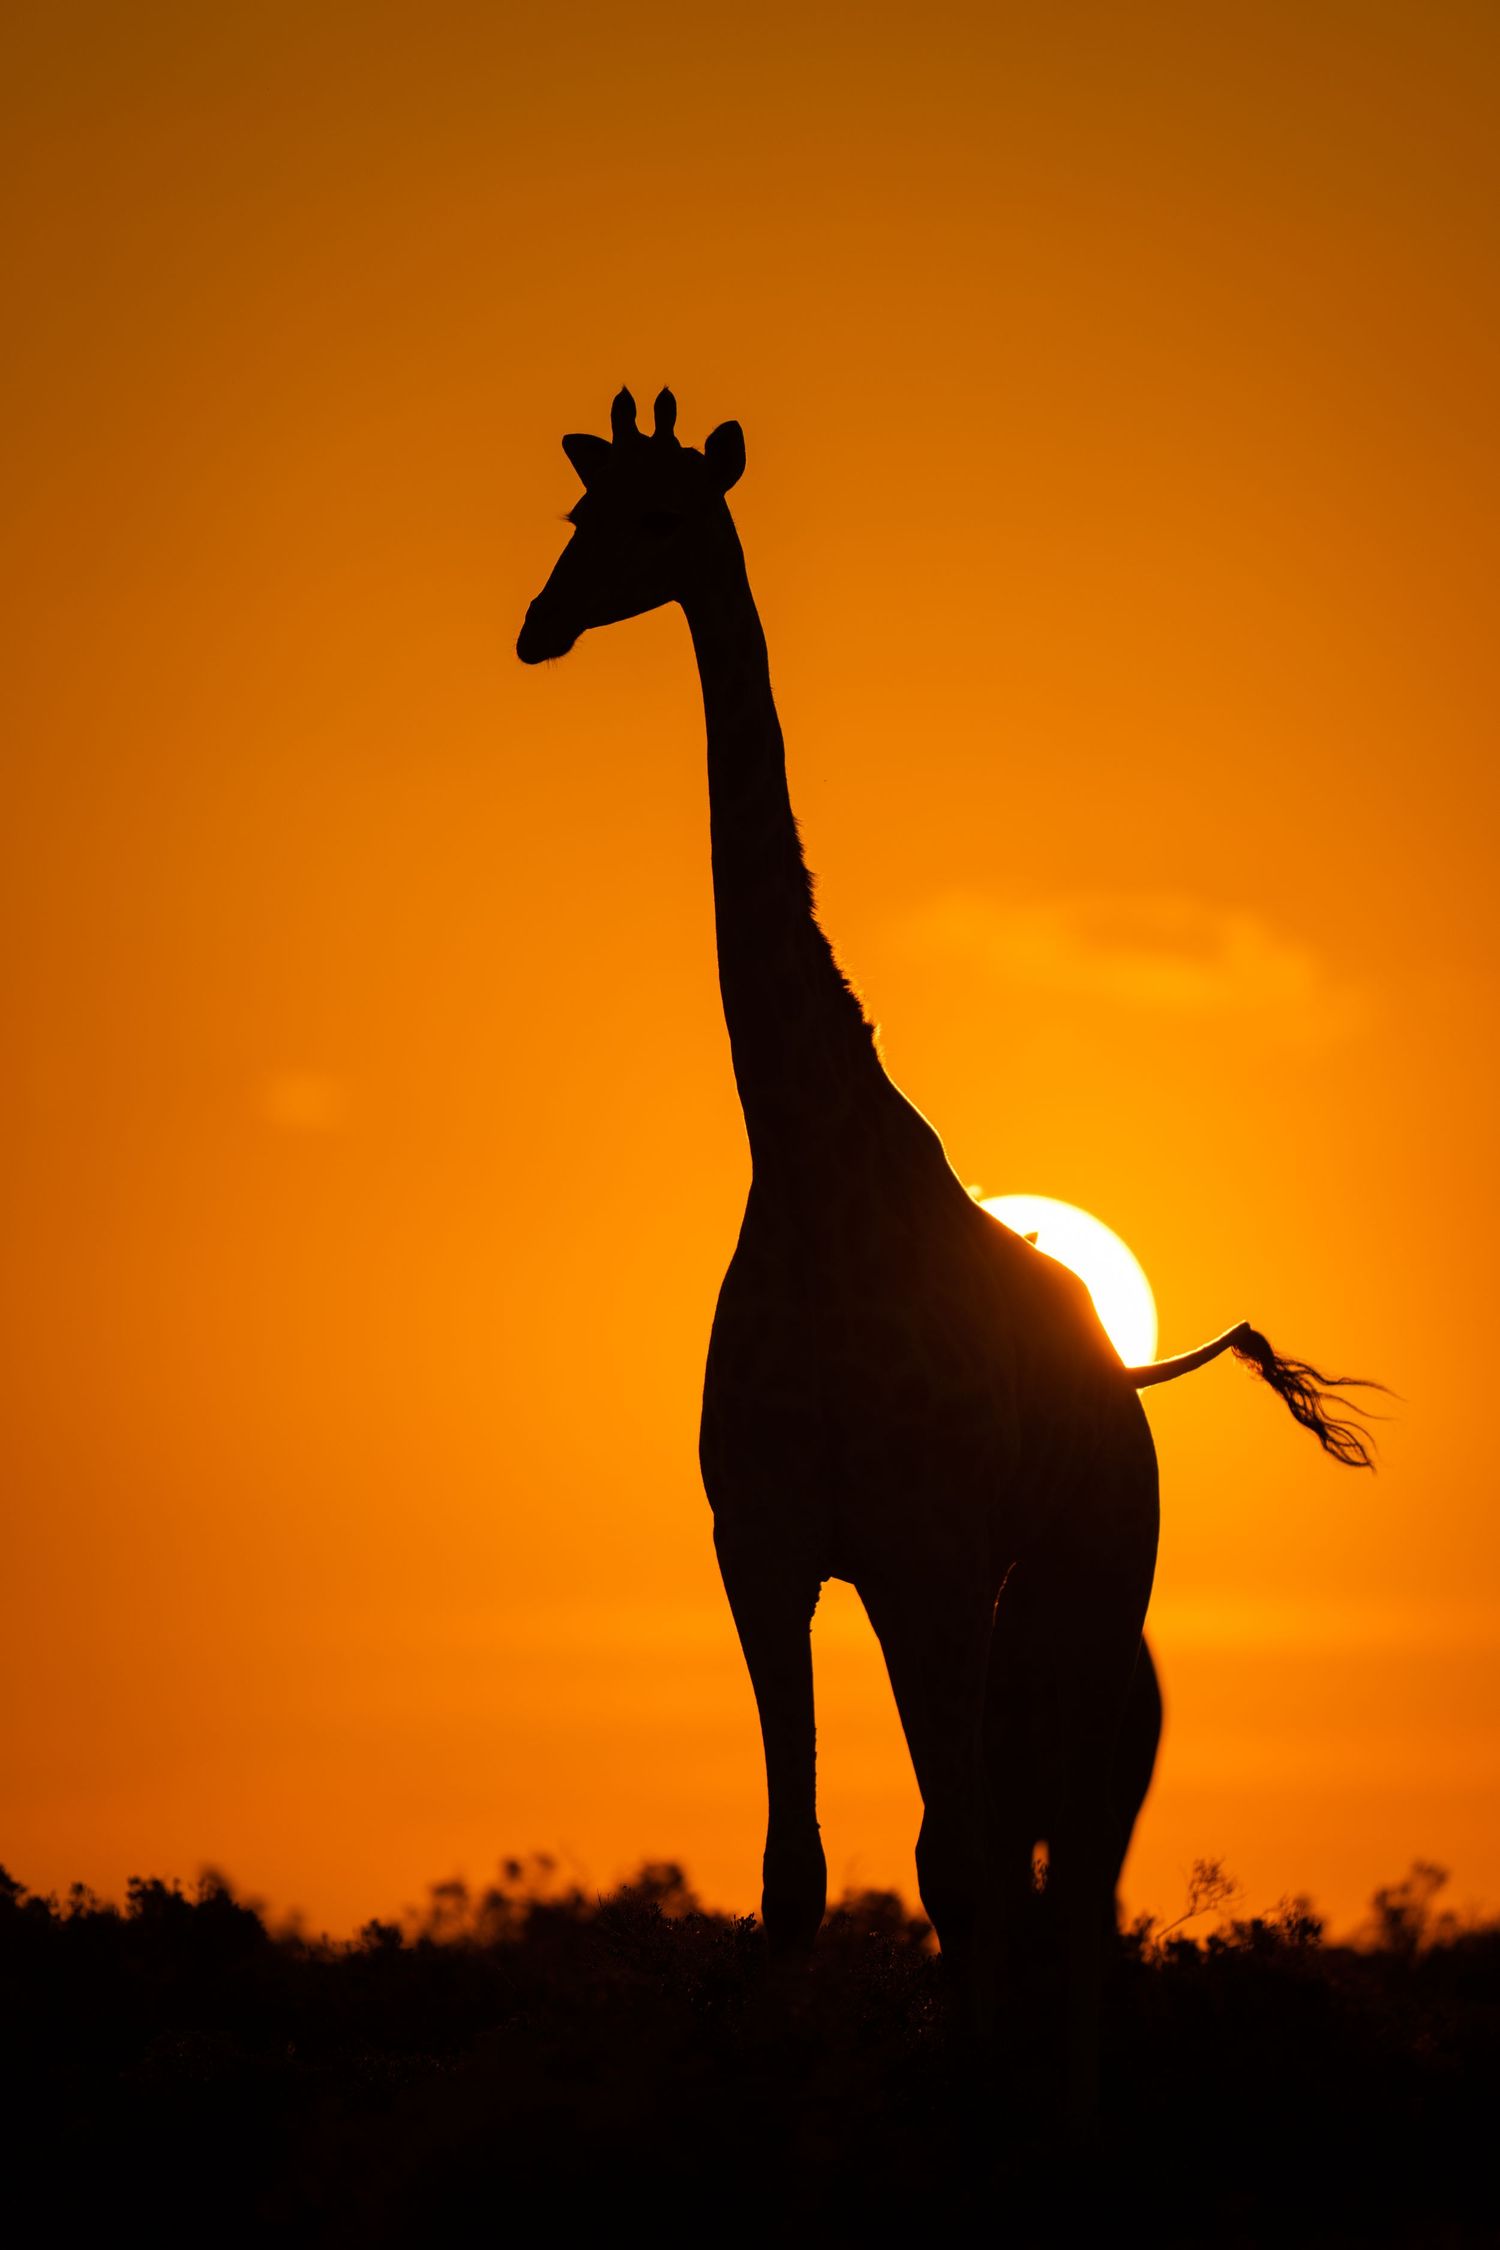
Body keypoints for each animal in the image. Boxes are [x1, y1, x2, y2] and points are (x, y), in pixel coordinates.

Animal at [517, 387, 1376, 2114]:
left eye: (660, 519)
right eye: (578, 516)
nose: (539, 625)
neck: (806, 1159)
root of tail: (1128, 1374)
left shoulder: (921, 1552)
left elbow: (953, 1860)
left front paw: (968, 2094)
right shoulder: (765, 1548)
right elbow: (800, 1872)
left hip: (1085, 1583)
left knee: (1070, 1859)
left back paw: (1068, 2098)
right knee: (1023, 1846)